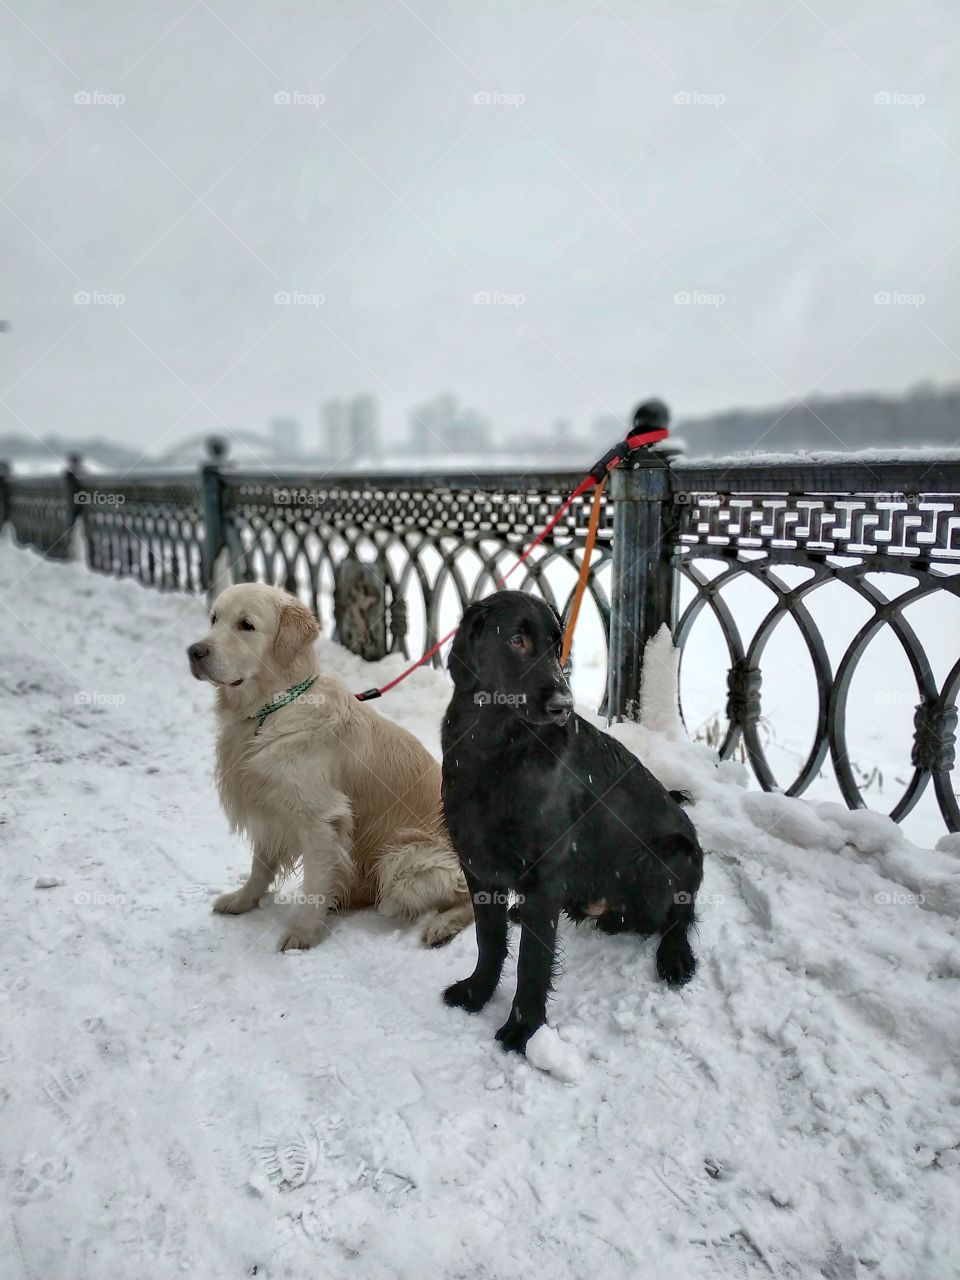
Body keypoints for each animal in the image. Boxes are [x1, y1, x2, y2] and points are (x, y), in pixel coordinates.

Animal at [440, 588, 701, 1049]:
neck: (494, 749)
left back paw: (674, 956)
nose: (564, 705)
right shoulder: (477, 864)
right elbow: (489, 940)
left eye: (556, 646)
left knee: (678, 916)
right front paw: (476, 993)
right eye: (516, 640)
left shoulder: (543, 875)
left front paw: (522, 1031)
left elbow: (532, 962)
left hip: (672, 855)